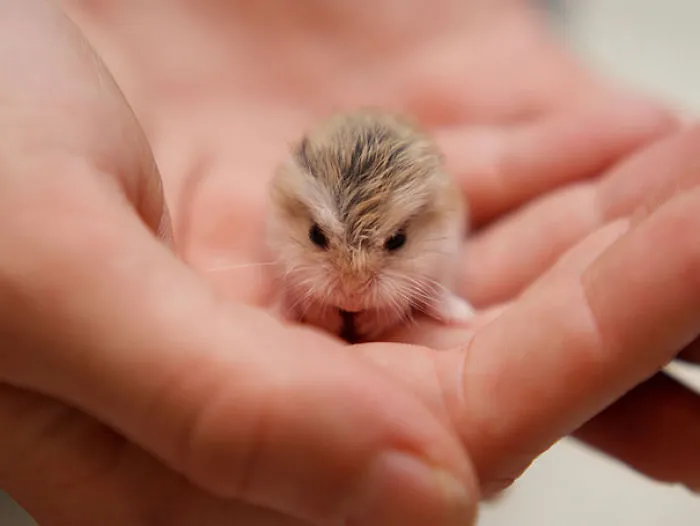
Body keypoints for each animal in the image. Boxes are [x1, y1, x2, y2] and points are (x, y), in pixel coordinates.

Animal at [266, 109, 475, 342]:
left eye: (397, 240)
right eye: (316, 235)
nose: (352, 303)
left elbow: (397, 304)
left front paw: (366, 327)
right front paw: (330, 322)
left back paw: (462, 315)